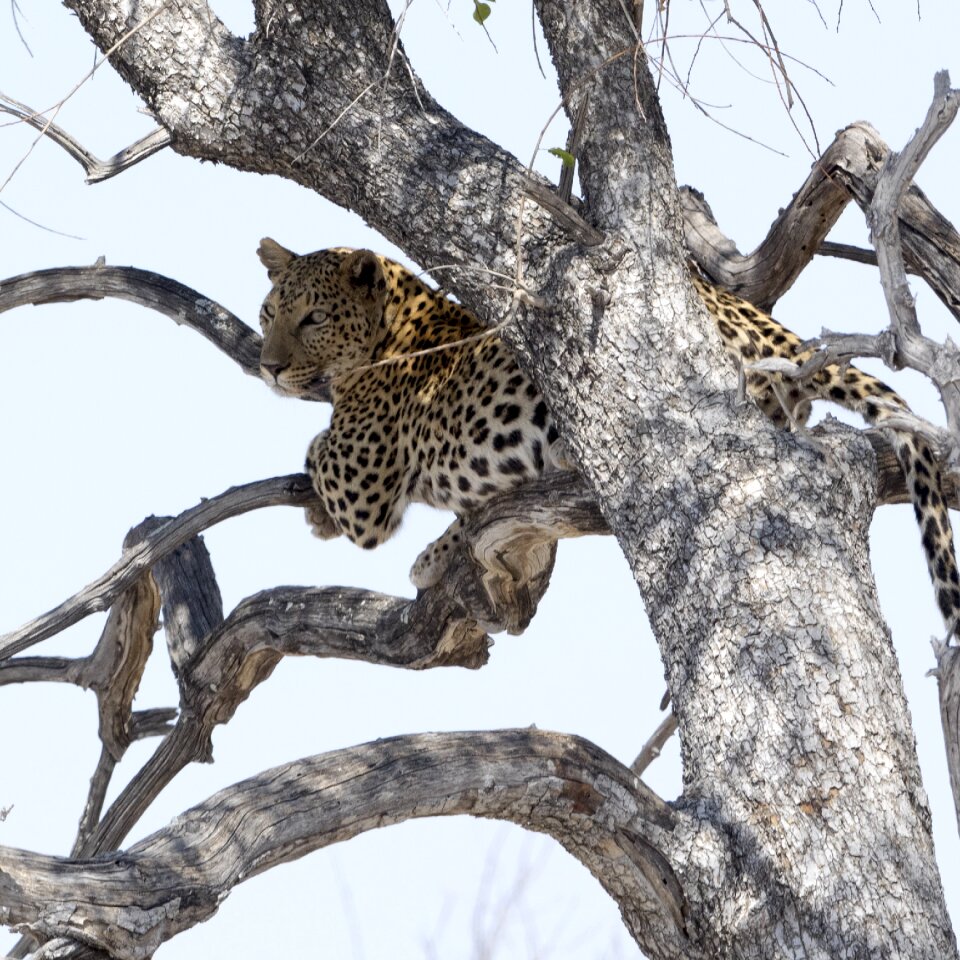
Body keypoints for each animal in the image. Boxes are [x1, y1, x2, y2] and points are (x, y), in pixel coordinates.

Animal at [256, 236, 960, 632]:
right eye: (267, 313)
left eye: (313, 318)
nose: (268, 365)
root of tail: (766, 326)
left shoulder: (364, 483)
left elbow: (318, 451)